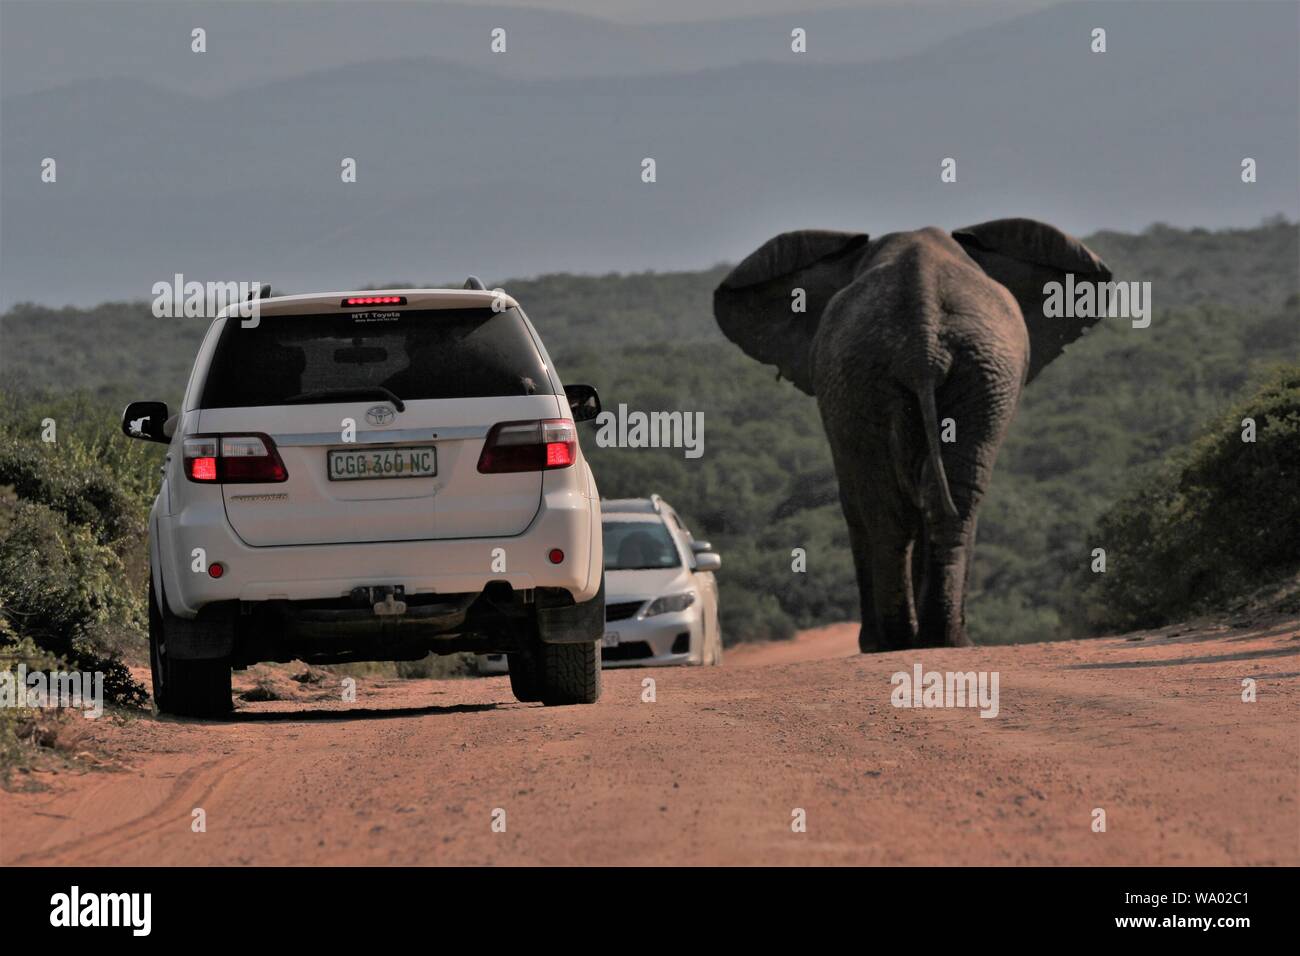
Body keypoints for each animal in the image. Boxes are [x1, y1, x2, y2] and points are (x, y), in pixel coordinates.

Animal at [717, 218, 1112, 650]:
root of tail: (922, 338)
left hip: (938, 369)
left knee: (895, 503)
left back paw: (907, 640)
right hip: (917, 370)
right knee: (938, 497)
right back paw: (930, 639)